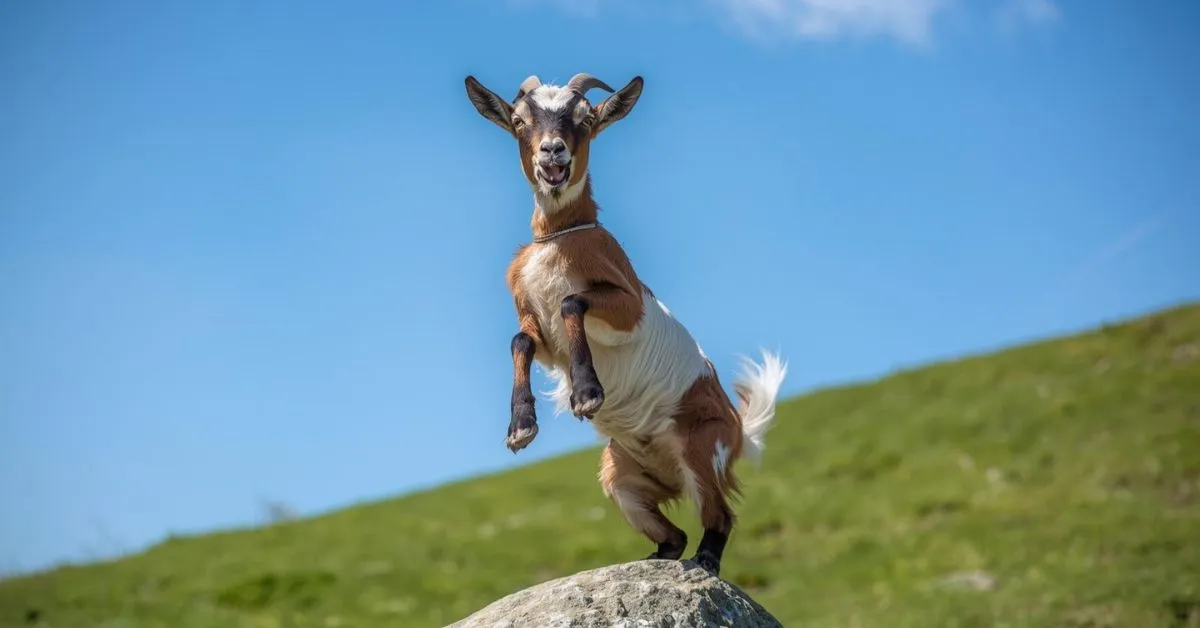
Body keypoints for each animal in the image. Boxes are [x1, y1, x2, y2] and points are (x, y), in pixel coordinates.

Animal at [463, 71, 788, 577]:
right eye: (519, 121)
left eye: (585, 119)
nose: (552, 151)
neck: (559, 240)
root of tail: (739, 433)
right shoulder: (536, 324)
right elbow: (520, 340)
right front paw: (521, 427)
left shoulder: (627, 303)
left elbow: (572, 302)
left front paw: (587, 394)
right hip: (620, 477)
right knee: (673, 535)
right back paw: (651, 558)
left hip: (700, 450)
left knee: (721, 517)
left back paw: (704, 563)